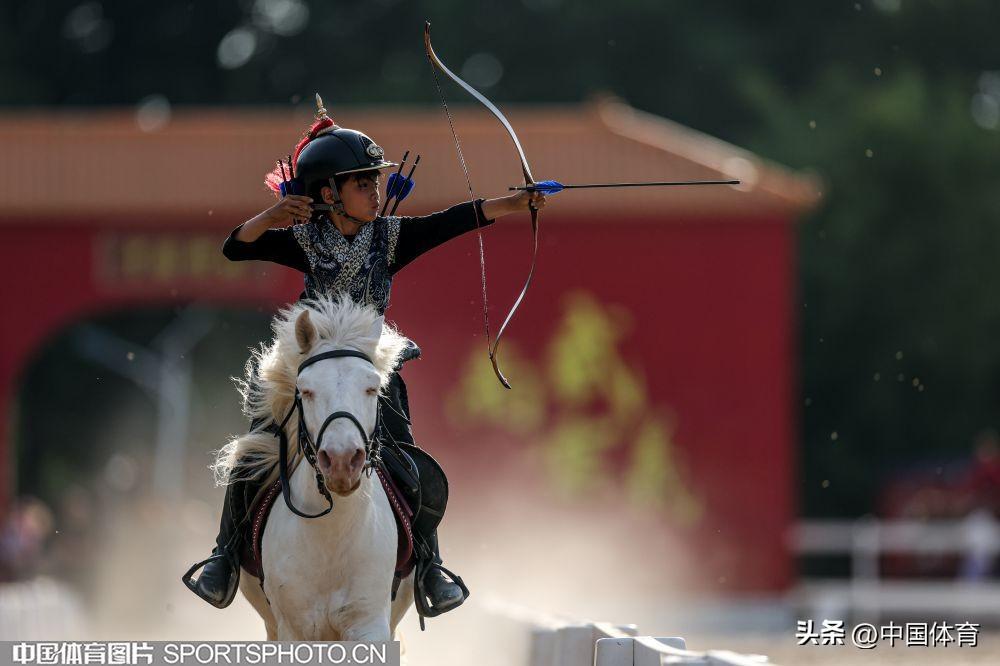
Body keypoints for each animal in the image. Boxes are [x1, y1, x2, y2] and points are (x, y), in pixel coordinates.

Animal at [212, 295, 414, 640]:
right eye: (306, 390)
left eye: (372, 388)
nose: (342, 461)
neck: (331, 539)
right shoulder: (294, 629)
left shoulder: (369, 623)